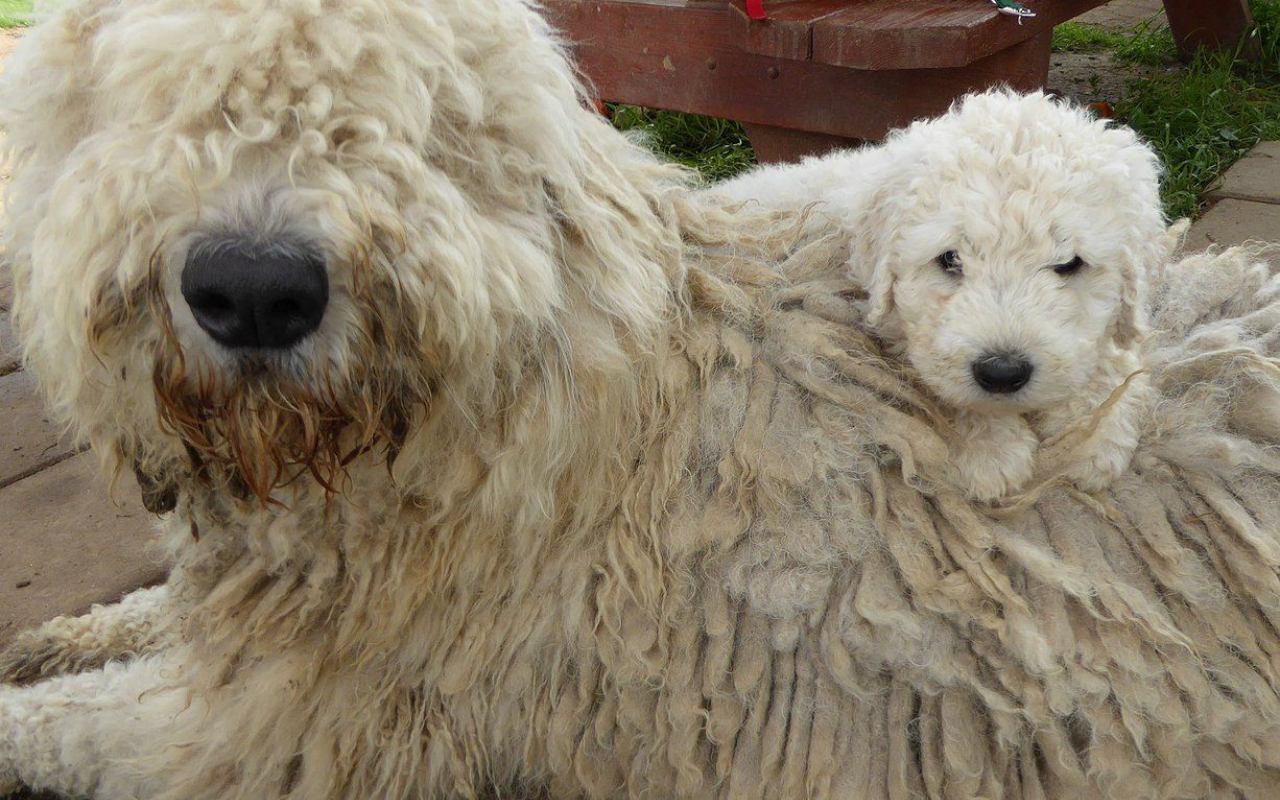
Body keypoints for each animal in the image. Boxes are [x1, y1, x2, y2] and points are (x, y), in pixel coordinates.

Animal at [711, 88, 1172, 499]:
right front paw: (990, 450)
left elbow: (1112, 357)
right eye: (950, 259)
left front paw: (1094, 432)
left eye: (1068, 264)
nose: (1001, 373)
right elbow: (938, 383)